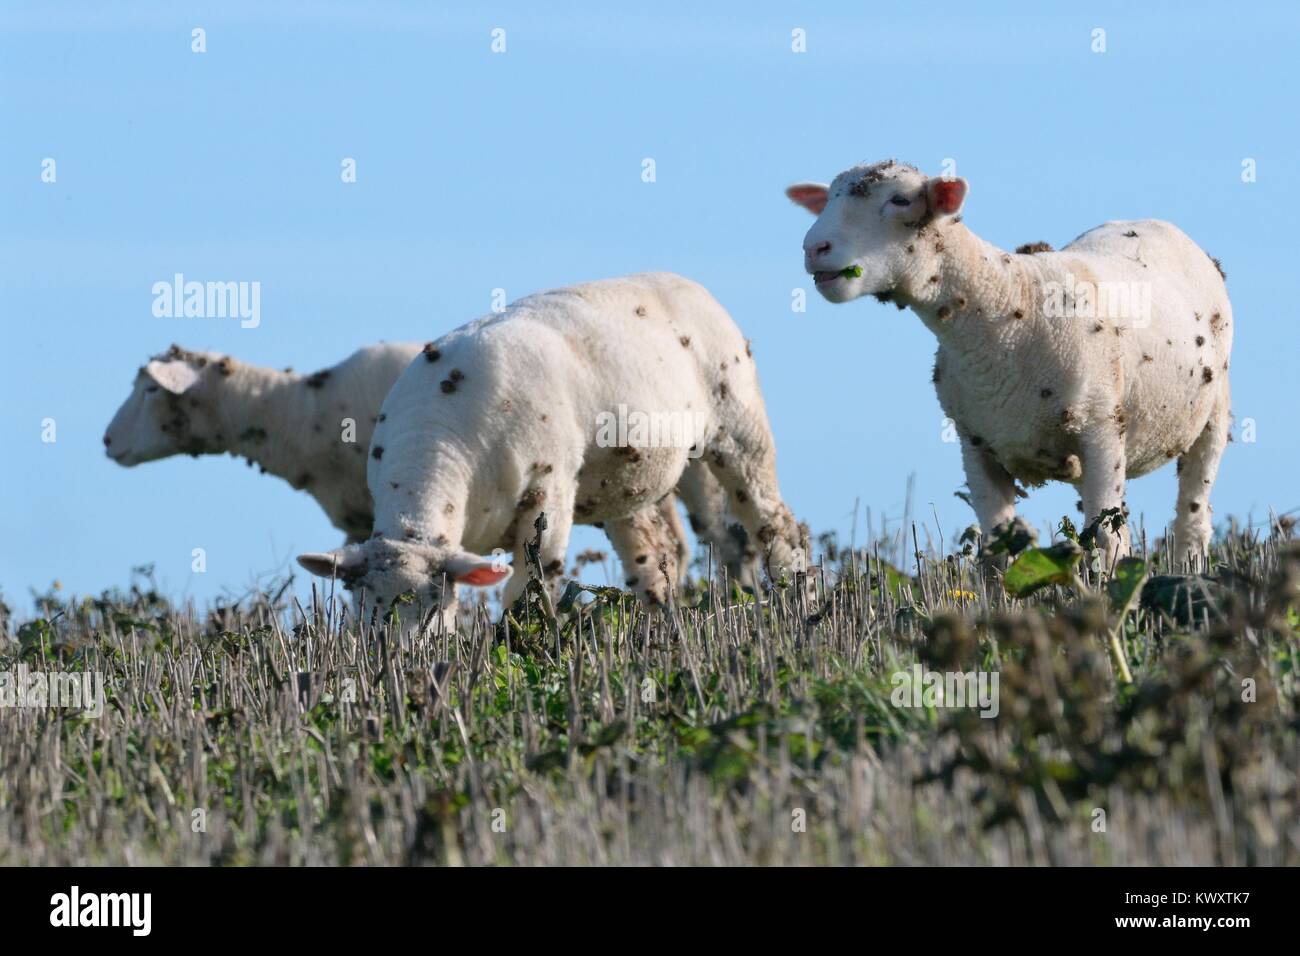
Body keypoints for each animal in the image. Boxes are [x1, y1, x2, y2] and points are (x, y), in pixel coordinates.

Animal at [297, 273, 806, 624]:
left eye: (435, 609)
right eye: (359, 609)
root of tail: (687, 283)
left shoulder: (548, 497)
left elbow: (525, 595)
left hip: (739, 428)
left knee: (776, 525)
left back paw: (798, 598)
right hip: (625, 481)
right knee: (651, 555)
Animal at [785, 159, 1232, 564]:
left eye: (899, 199)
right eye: (828, 199)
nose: (814, 248)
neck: (1008, 302)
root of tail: (1153, 222)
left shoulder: (1102, 431)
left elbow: (1109, 545)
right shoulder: (975, 442)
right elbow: (998, 551)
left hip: (1213, 411)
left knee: (1193, 517)